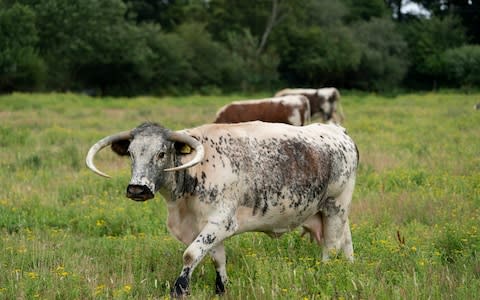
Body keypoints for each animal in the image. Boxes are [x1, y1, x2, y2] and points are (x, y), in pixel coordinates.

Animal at [86, 120, 358, 296]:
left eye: (162, 153)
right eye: (131, 153)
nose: (137, 189)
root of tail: (338, 130)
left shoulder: (220, 222)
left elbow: (191, 254)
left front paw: (180, 289)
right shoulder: (207, 227)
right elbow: (217, 258)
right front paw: (222, 288)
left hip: (335, 206)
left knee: (331, 246)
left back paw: (325, 274)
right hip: (331, 212)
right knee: (345, 240)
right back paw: (348, 268)